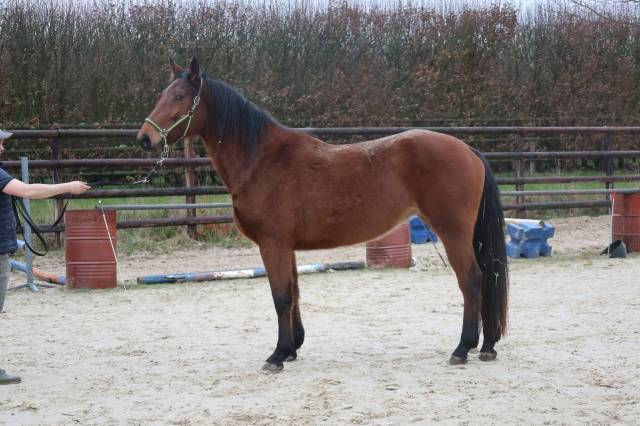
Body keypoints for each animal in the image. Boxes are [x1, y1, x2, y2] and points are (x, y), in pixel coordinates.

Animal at [137, 58, 509, 371]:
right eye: (162, 94)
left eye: (179, 96)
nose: (144, 137)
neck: (263, 160)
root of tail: (469, 150)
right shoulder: (285, 246)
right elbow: (294, 293)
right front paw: (292, 348)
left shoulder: (272, 244)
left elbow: (281, 297)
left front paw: (277, 355)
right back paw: (487, 346)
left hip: (452, 232)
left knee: (471, 280)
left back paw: (462, 348)